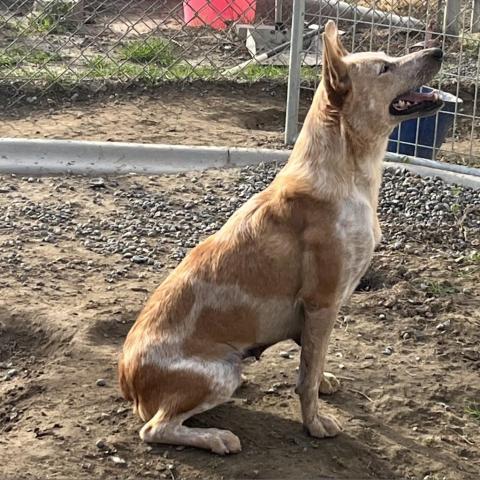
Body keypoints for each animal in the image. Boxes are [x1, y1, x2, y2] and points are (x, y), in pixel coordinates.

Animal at [119, 19, 442, 454]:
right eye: (385, 68)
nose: (438, 51)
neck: (346, 175)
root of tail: (127, 380)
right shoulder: (322, 302)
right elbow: (306, 380)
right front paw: (315, 423)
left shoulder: (316, 314)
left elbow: (313, 363)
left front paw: (324, 381)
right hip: (221, 373)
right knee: (154, 428)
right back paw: (217, 438)